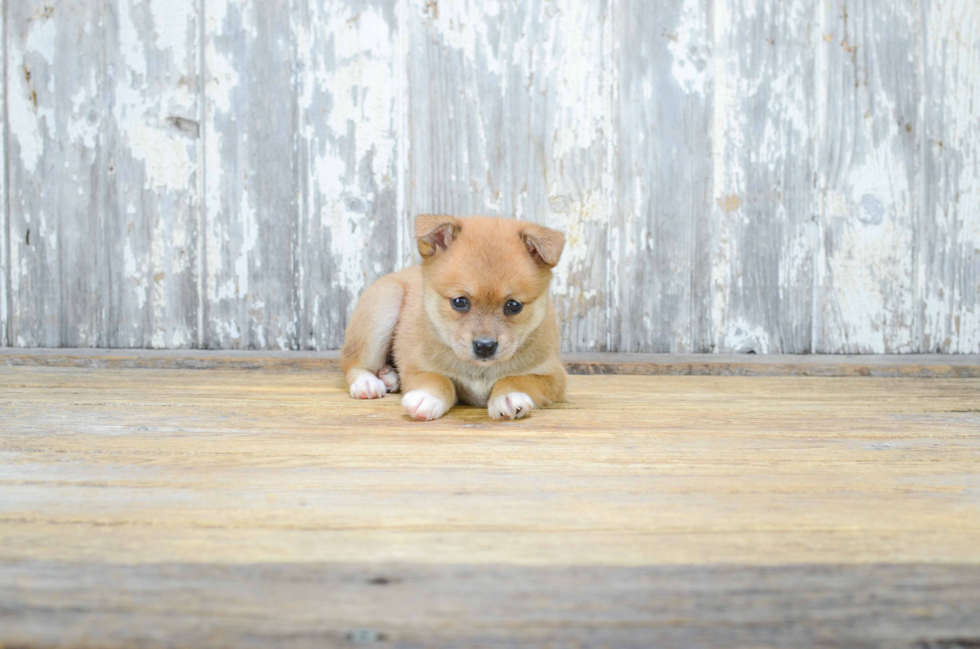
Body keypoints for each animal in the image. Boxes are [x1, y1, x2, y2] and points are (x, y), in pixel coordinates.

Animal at [340, 215, 568, 422]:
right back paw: (367, 383)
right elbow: (437, 378)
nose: (485, 346)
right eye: (459, 301)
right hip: (383, 307)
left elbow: (519, 379)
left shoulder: (553, 375)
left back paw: (388, 376)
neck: (479, 371)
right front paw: (427, 397)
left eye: (513, 305)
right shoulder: (416, 367)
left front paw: (509, 396)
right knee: (353, 362)